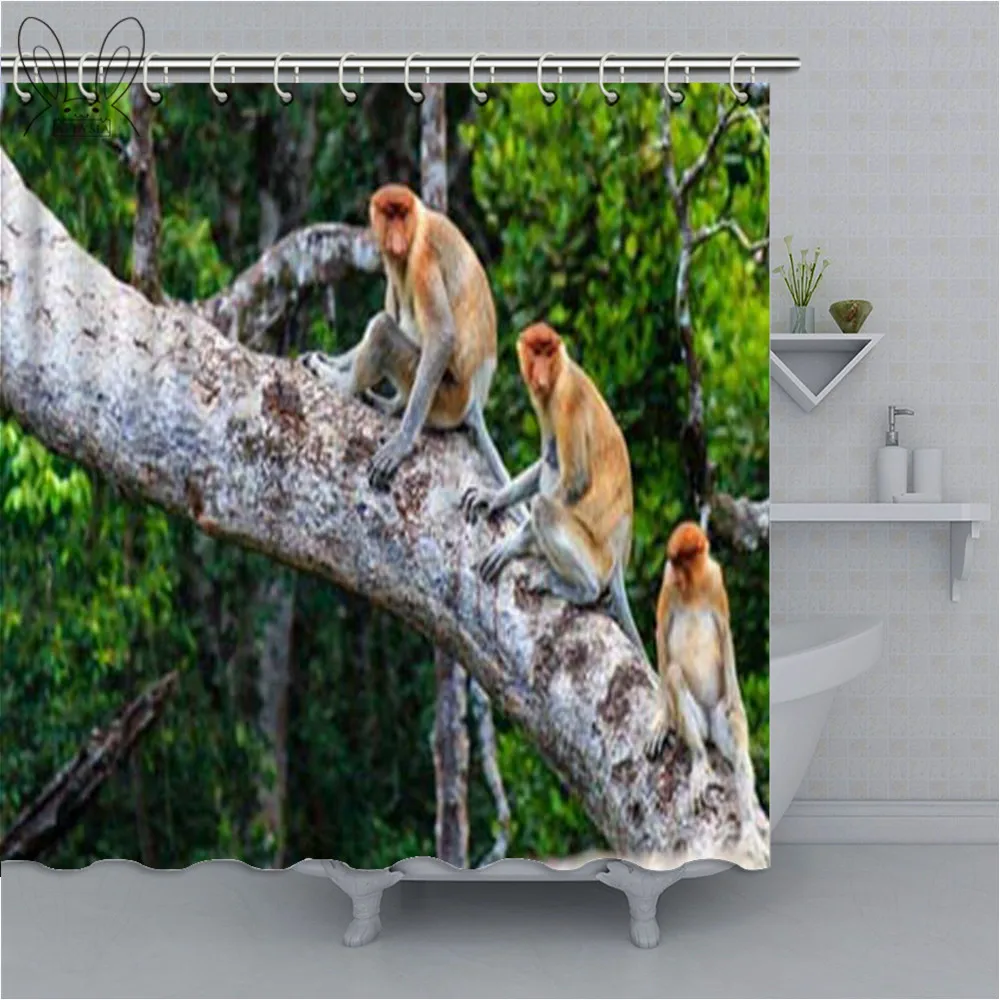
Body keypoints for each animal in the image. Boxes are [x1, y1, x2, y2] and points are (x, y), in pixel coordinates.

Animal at [300, 184, 509, 491]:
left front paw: (402, 443)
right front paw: (325, 358)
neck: (418, 222)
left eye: (402, 214)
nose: (397, 239)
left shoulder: (423, 258)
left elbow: (442, 336)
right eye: (389, 215)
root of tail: (473, 402)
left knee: (383, 331)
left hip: (447, 398)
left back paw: (341, 384)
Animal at [461, 322, 644, 651]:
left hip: (595, 555)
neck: (562, 371)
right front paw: (492, 498)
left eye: (549, 352)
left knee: (544, 504)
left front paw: (510, 546)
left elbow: (576, 481)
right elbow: (544, 459)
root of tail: (618, 557)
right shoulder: (545, 404)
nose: (542, 374)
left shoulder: (565, 400)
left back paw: (584, 589)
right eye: (536, 352)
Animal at [645, 521, 757, 812]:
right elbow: (661, 632)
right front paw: (662, 718)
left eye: (684, 562)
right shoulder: (668, 586)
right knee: (674, 673)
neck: (692, 589)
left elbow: (725, 635)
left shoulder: (716, 583)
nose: (677, 576)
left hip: (719, 714)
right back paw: (700, 761)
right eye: (673, 562)